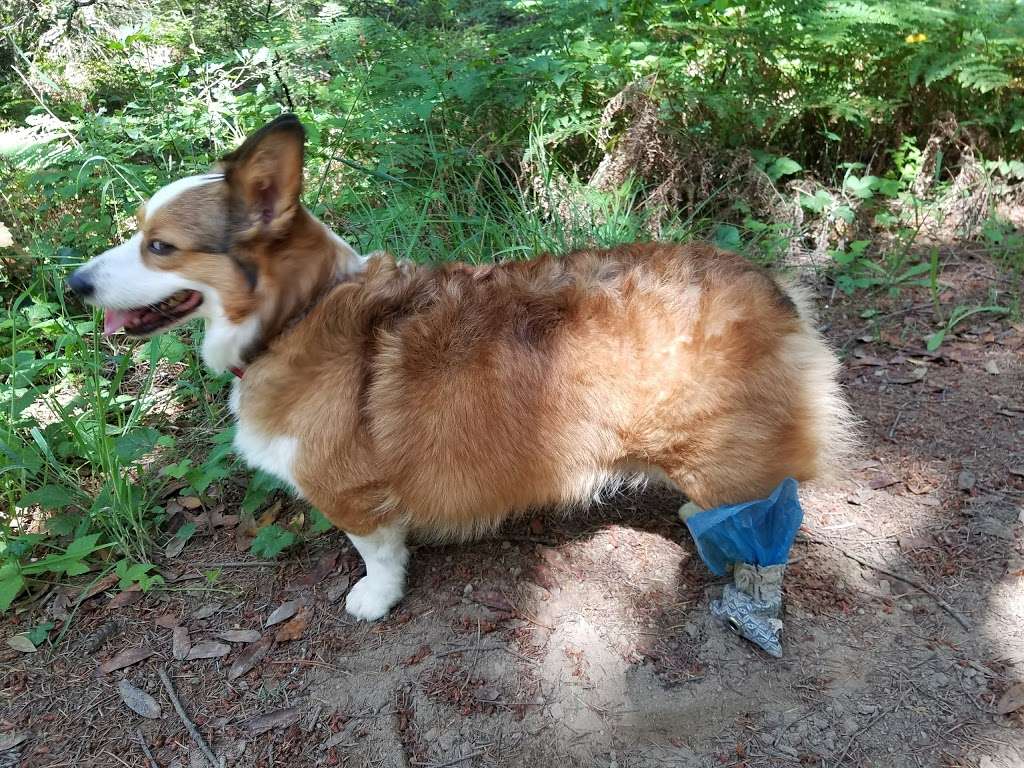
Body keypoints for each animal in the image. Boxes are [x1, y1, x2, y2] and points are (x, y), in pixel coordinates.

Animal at [70, 114, 847, 622]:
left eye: (160, 247)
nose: (73, 284)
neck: (293, 314)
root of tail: (776, 291)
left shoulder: (353, 494)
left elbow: (377, 552)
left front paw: (374, 599)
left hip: (718, 452)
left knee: (767, 517)